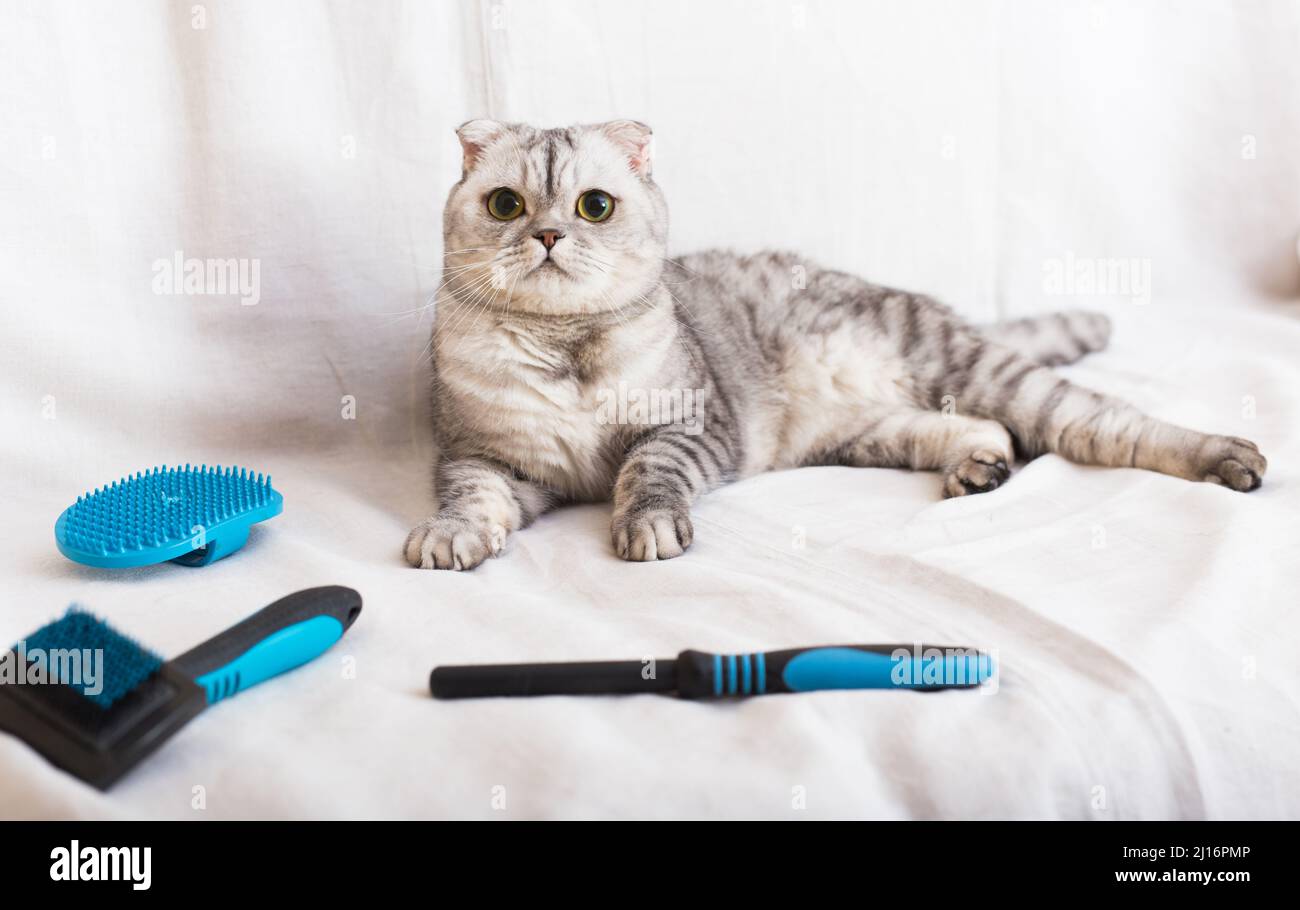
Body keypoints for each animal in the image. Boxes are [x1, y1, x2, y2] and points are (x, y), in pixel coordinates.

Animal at [403, 116, 1258, 564]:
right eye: (506, 204)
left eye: (595, 205)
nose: (547, 235)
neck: (565, 348)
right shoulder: (486, 455)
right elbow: (470, 495)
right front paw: (451, 537)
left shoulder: (688, 426)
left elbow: (647, 473)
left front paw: (645, 525)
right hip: (869, 431)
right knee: (982, 431)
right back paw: (979, 469)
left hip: (974, 369)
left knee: (1103, 422)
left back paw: (1228, 457)